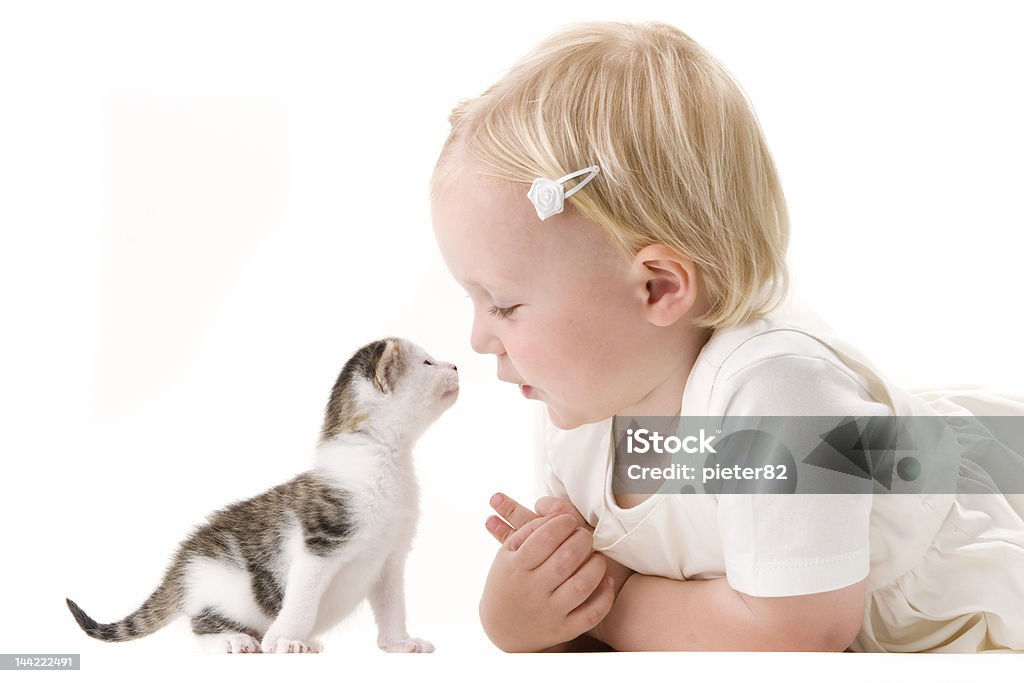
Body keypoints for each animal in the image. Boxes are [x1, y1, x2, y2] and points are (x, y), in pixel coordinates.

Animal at [66, 339, 458, 655]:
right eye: (427, 363)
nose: (455, 366)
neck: (383, 457)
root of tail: (181, 563)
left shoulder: (390, 557)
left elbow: (393, 607)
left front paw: (399, 644)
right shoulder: (319, 545)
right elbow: (301, 602)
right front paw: (283, 640)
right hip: (224, 587)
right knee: (202, 624)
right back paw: (233, 640)